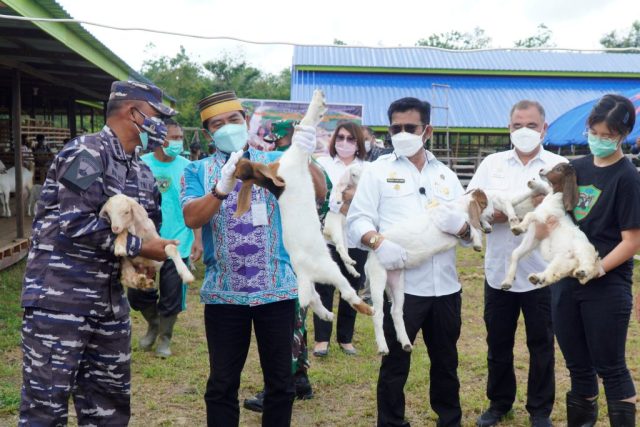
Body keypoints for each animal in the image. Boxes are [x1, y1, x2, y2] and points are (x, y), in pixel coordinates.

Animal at [231, 91, 372, 324]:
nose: (273, 125)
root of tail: (305, 273)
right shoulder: (297, 155)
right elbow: (308, 120)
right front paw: (318, 101)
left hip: (311, 281)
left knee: (313, 298)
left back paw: (327, 314)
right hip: (330, 269)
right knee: (346, 291)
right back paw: (367, 309)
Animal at [364, 190, 496, 354]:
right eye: (485, 203)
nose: (493, 215)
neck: (458, 207)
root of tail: (371, 254)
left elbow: (471, 227)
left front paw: (484, 229)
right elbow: (472, 227)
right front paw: (478, 242)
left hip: (397, 280)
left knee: (396, 311)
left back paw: (406, 343)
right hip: (378, 276)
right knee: (377, 313)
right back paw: (383, 347)